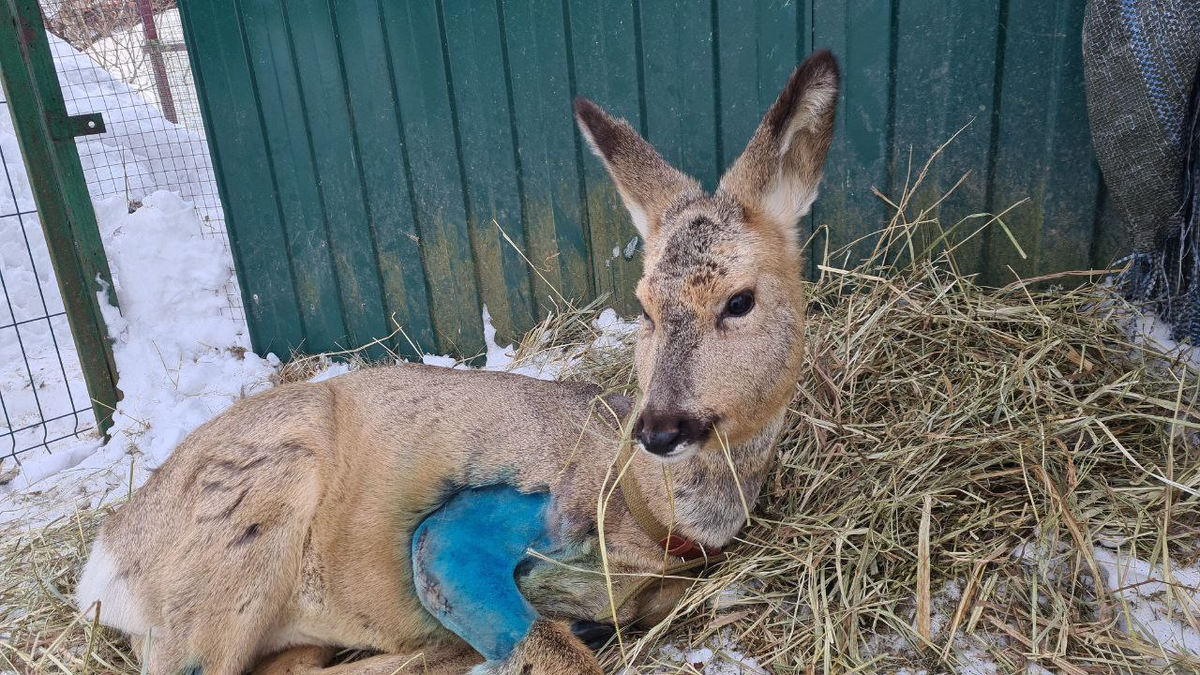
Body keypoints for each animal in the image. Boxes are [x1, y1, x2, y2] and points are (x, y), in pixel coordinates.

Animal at [77, 49, 844, 667]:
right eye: (645, 305)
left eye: (740, 301)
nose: (658, 429)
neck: (651, 516)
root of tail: (103, 559)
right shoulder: (476, 519)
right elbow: (549, 646)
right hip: (249, 509)